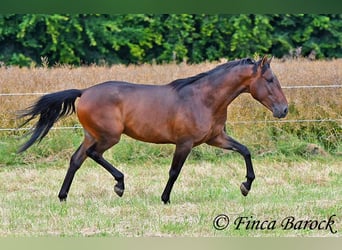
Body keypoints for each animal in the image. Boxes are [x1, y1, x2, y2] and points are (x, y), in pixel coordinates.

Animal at [17, 55, 288, 204]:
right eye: (270, 80)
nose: (283, 110)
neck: (204, 99)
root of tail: (83, 92)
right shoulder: (185, 143)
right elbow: (174, 172)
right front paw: (165, 198)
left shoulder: (216, 138)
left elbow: (245, 150)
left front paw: (246, 186)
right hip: (108, 136)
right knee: (94, 154)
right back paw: (119, 185)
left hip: (91, 135)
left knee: (76, 160)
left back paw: (63, 196)